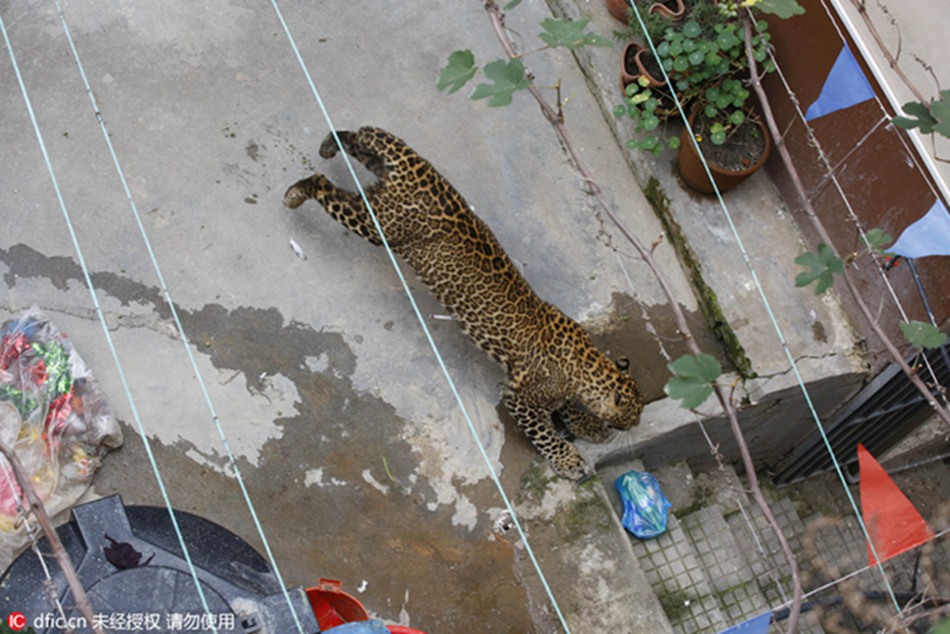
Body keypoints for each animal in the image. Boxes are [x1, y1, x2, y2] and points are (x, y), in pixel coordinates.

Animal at [283, 126, 642, 481]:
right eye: (633, 415)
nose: (635, 426)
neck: (586, 365)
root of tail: (417, 169)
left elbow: (565, 407)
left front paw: (587, 424)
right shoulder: (520, 400)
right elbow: (544, 432)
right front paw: (569, 460)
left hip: (378, 186)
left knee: (355, 137)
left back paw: (329, 145)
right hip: (376, 224)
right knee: (323, 182)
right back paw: (295, 193)